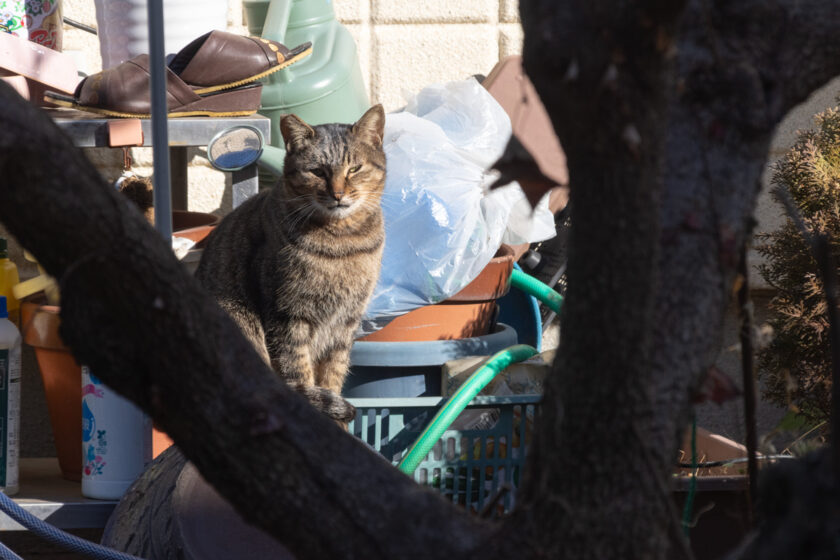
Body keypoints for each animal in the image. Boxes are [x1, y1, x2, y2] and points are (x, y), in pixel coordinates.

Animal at [194, 105, 388, 420]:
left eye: (354, 169)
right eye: (317, 172)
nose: (338, 194)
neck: (342, 243)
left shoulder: (346, 321)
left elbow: (334, 372)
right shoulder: (287, 314)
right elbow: (297, 369)